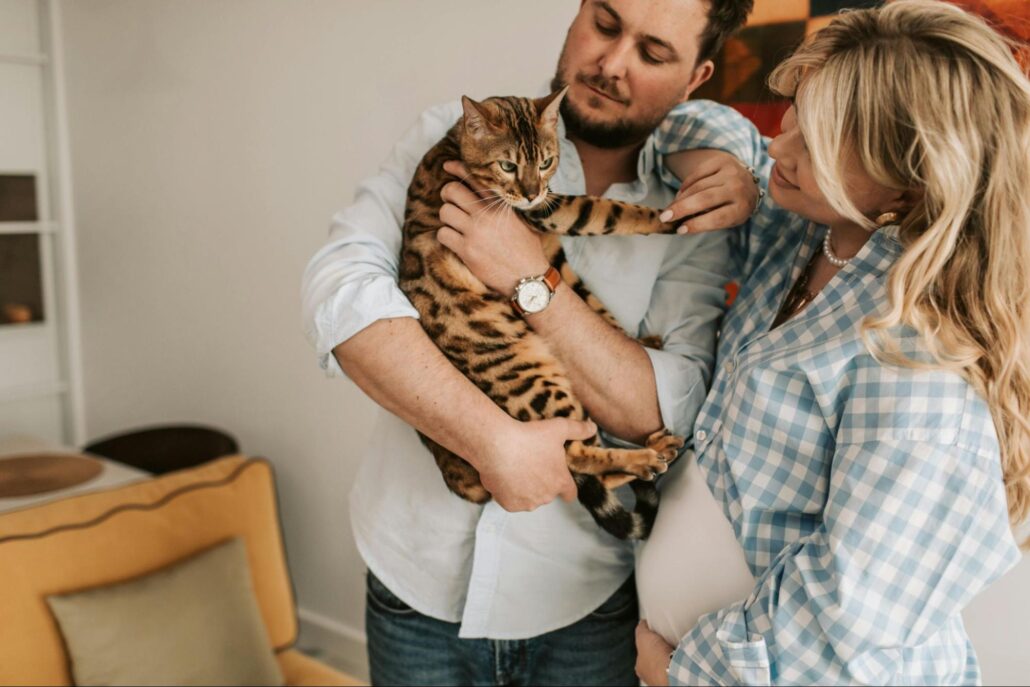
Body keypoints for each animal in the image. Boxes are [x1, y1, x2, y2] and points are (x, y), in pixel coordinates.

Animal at [399, 88, 683, 543]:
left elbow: (599, 310)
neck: (454, 144)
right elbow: (607, 210)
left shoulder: (555, 261)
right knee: (574, 457)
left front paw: (641, 341)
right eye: (507, 165)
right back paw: (646, 458)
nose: (531, 191)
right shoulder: (549, 212)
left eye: (547, 161)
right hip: (533, 382)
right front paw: (663, 217)